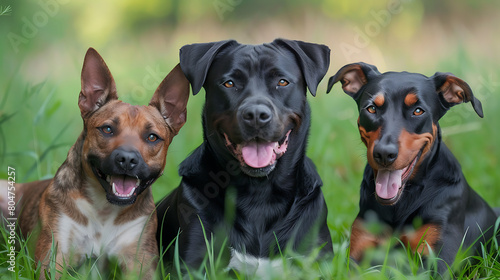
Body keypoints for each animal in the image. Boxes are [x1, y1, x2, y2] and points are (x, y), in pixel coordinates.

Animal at [1, 48, 189, 278]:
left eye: (152, 137)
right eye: (107, 129)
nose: (127, 159)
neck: (104, 210)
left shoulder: (139, 262)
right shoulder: (53, 259)